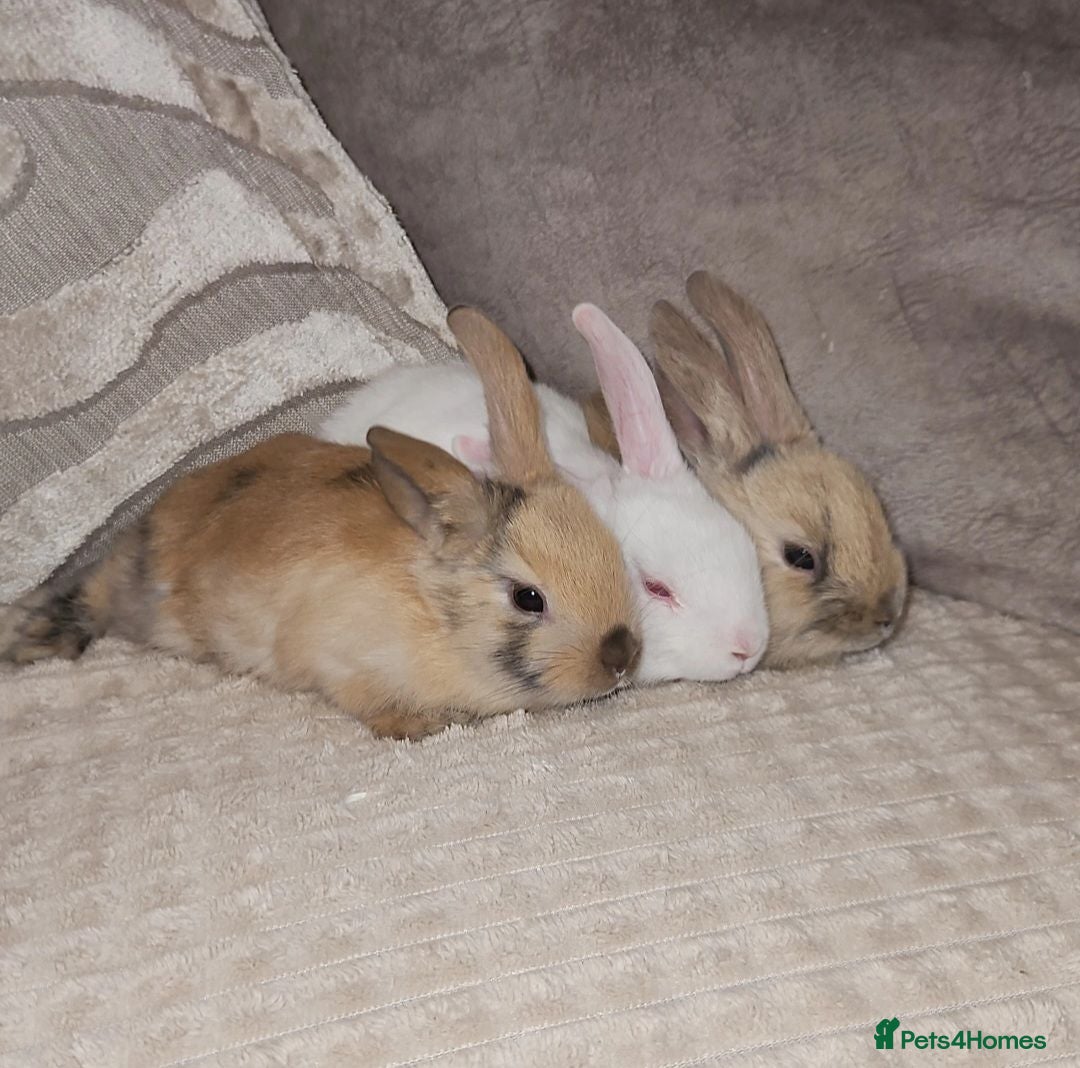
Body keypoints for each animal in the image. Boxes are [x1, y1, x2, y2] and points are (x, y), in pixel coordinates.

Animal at [0, 308, 642, 740]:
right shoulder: (342, 664)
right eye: (529, 598)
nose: (622, 659)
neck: (434, 617)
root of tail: (149, 528)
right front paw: (420, 725)